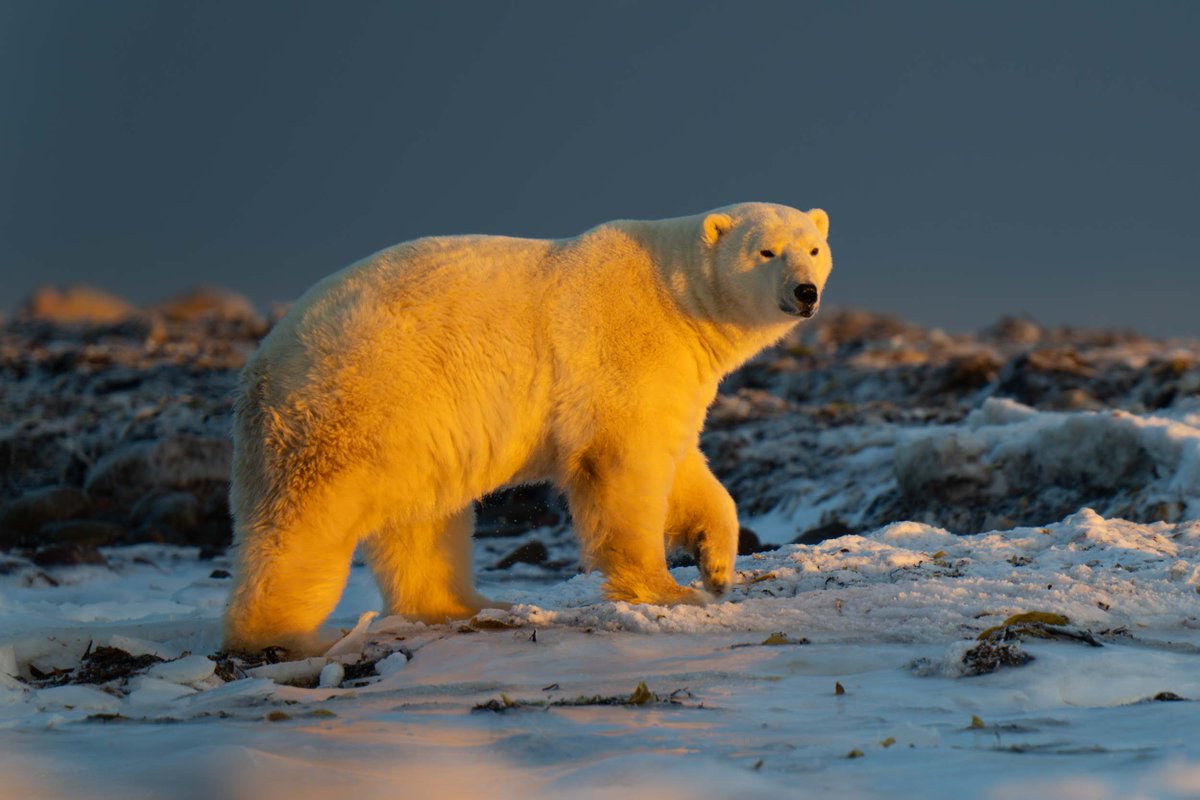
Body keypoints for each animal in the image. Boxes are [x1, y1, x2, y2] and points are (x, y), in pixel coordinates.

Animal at [220, 203, 830, 652]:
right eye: (766, 251)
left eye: (814, 248)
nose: (805, 292)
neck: (674, 296)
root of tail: (262, 363)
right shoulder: (623, 355)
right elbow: (624, 466)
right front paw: (667, 590)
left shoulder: (675, 379)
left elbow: (683, 467)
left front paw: (718, 567)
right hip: (351, 401)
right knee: (308, 520)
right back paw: (282, 635)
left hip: (415, 426)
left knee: (424, 520)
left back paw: (468, 606)